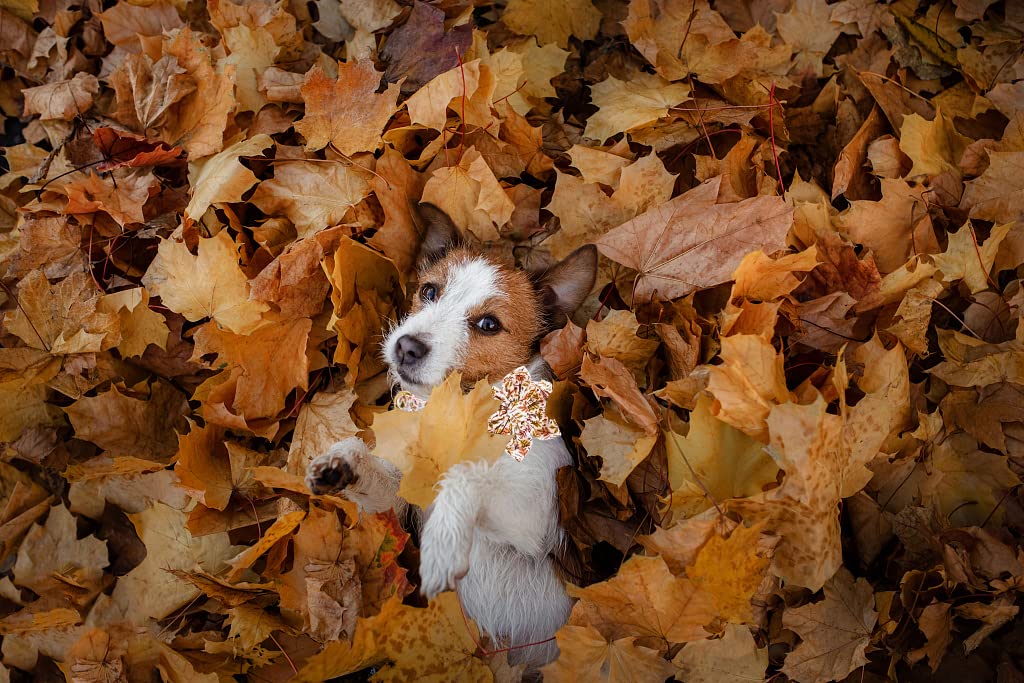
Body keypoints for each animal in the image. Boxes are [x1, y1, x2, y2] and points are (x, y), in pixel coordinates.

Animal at [303, 205, 598, 671]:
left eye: (489, 323)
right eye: (429, 291)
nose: (406, 346)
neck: (459, 411)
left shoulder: (534, 521)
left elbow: (466, 474)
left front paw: (444, 541)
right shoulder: (403, 497)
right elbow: (376, 474)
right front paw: (343, 462)